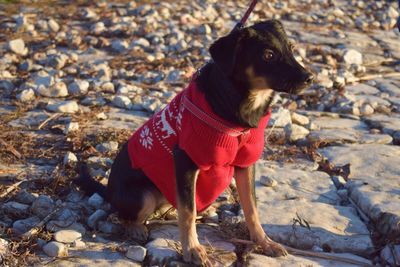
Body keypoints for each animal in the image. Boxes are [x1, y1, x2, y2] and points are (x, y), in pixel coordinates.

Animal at [75, 19, 312, 266]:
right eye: (268, 55)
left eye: (291, 48)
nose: (309, 77)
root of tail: (109, 191)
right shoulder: (186, 161)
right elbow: (188, 212)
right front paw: (193, 250)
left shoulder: (246, 165)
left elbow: (252, 209)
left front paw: (264, 242)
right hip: (143, 196)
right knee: (125, 215)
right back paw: (136, 228)